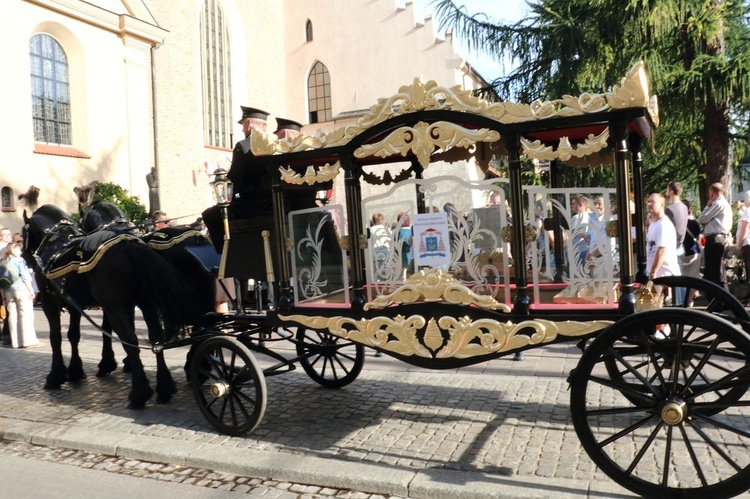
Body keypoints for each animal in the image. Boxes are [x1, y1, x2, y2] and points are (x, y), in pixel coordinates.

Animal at [23, 205, 198, 408]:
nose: (25, 257)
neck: (55, 245)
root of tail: (129, 244)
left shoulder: (49, 302)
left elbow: (56, 337)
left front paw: (56, 375)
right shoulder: (77, 304)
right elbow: (75, 335)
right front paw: (77, 370)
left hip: (119, 306)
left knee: (131, 339)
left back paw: (140, 393)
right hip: (146, 302)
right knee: (156, 338)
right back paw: (165, 387)